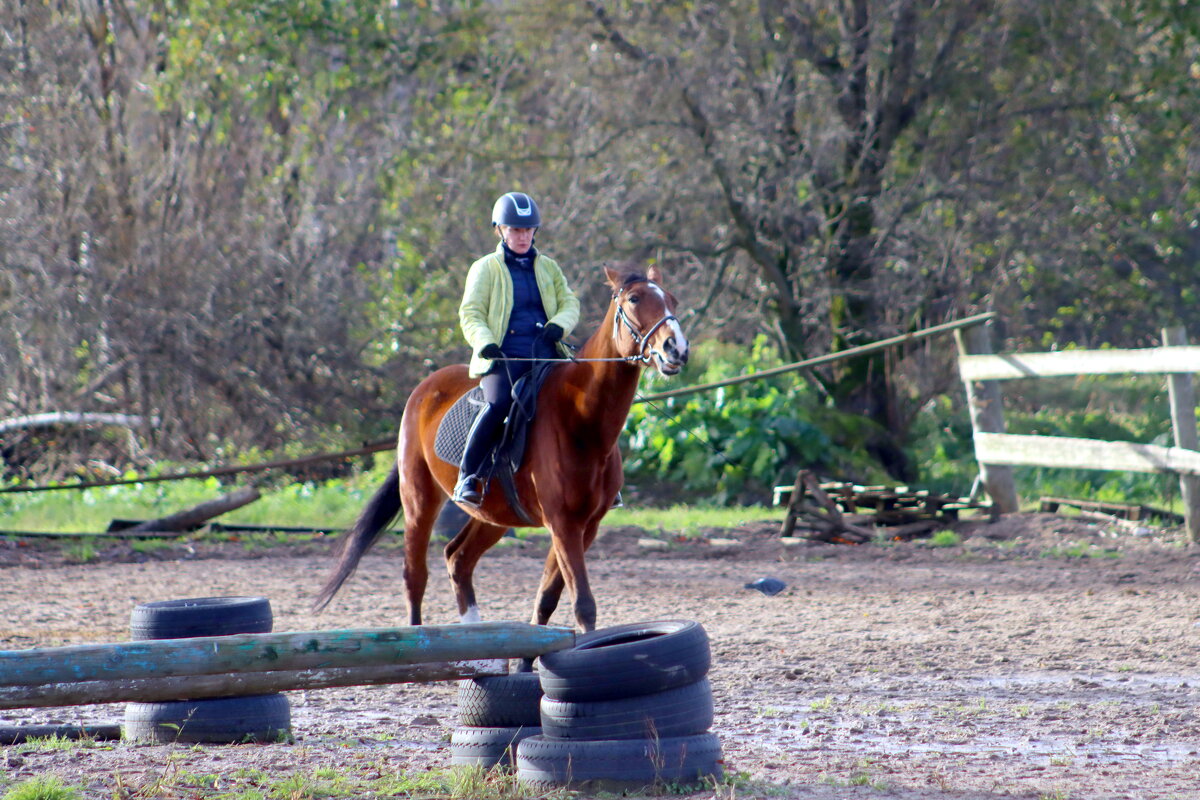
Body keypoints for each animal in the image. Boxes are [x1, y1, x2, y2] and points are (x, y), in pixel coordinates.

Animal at [314, 267, 691, 633]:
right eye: (634, 299)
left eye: (672, 299)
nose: (677, 348)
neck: (583, 420)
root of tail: (424, 389)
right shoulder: (563, 524)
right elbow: (583, 605)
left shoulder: (585, 527)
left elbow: (547, 599)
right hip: (419, 501)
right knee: (415, 576)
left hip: (493, 515)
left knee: (458, 559)